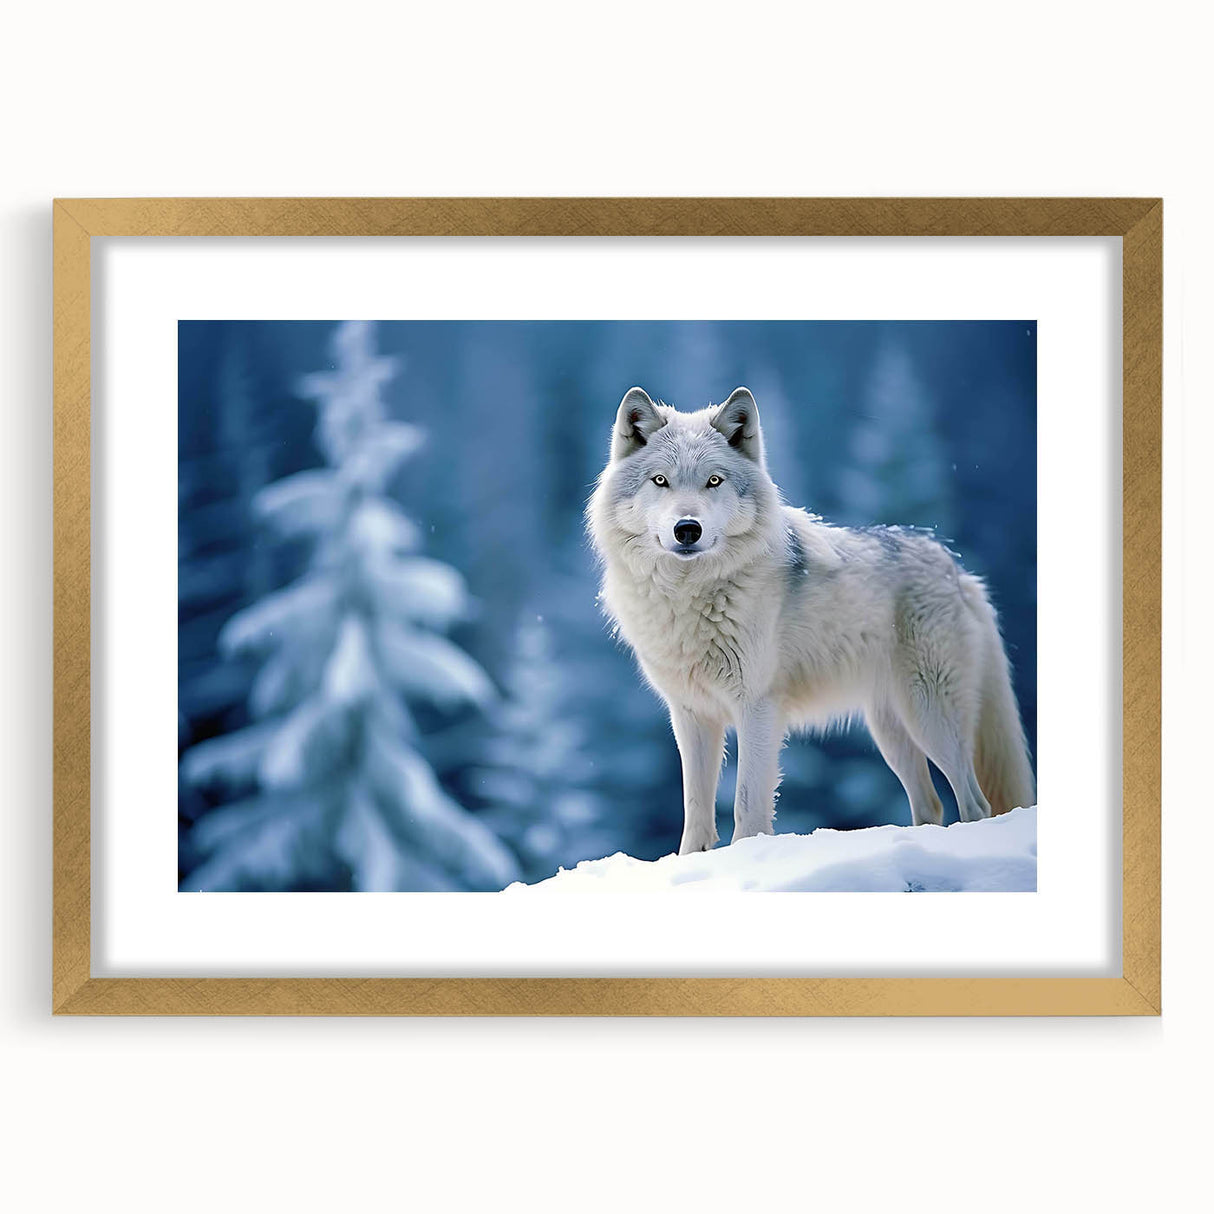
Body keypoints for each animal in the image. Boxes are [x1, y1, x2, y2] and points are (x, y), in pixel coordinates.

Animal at [587, 386, 1035, 854]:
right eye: (660, 481)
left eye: (714, 481)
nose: (687, 528)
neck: (690, 597)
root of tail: (959, 571)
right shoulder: (692, 715)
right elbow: (695, 811)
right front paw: (694, 860)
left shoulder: (758, 707)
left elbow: (746, 804)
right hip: (892, 732)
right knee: (931, 805)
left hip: (930, 717)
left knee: (975, 804)